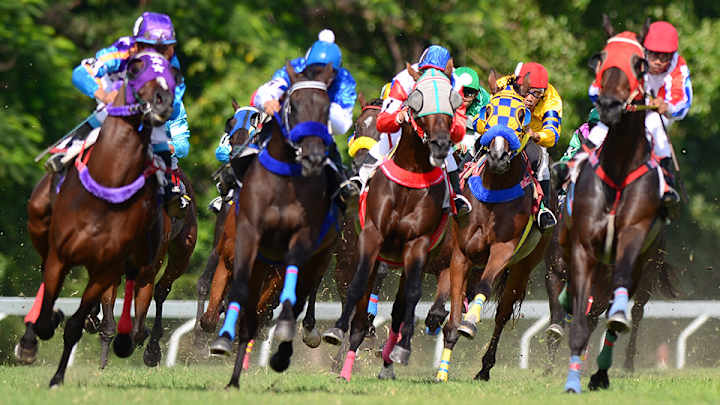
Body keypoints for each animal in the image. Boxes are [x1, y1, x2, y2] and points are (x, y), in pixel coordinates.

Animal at [24, 51, 180, 387]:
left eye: (172, 74)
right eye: (135, 69)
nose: (162, 103)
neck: (107, 187)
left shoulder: (106, 268)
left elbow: (75, 325)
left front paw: (58, 377)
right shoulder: (60, 256)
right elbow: (48, 314)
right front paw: (43, 328)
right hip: (41, 223)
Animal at [207, 61, 340, 388]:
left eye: (257, 127)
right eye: (229, 126)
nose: (227, 174)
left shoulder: (286, 262)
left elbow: (266, 306)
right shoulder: (233, 255)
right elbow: (215, 309)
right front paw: (221, 334)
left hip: (320, 255)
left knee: (305, 293)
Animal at [322, 63, 462, 381]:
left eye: (451, 105)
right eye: (357, 127)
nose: (440, 144)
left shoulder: (417, 245)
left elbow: (409, 299)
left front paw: (400, 350)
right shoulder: (369, 241)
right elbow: (356, 287)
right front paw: (337, 334)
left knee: (403, 306)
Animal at [434, 71, 553, 382]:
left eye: (522, 115)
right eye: (488, 110)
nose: (498, 155)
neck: (493, 191)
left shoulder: (503, 250)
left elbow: (485, 287)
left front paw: (470, 323)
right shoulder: (462, 254)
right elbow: (452, 314)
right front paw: (442, 372)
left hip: (524, 265)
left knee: (502, 313)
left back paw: (485, 367)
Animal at [560, 18, 673, 393]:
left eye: (639, 63)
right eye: (602, 57)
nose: (609, 105)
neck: (619, 168)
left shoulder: (633, 237)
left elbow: (616, 311)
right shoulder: (582, 246)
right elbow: (580, 317)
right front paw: (572, 380)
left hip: (646, 266)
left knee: (622, 313)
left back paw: (605, 367)